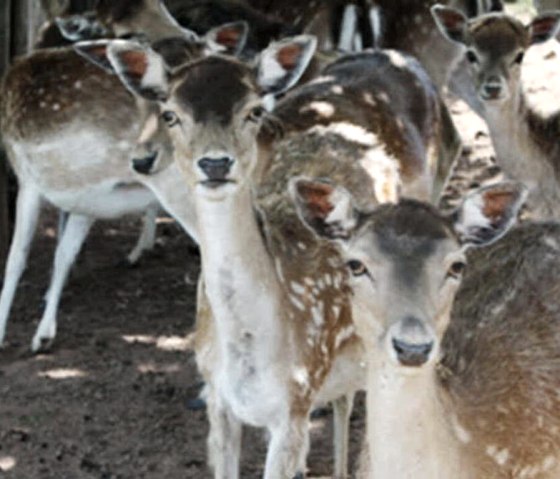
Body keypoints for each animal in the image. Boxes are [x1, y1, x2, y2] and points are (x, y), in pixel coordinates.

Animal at [0, 0, 247, 352]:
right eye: (129, 34)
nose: (190, 40)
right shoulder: (84, 197)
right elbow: (63, 252)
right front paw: (45, 330)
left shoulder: (27, 178)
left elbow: (15, 259)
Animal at [103, 5, 462, 470]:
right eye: (171, 113)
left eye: (253, 111)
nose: (215, 163)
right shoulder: (219, 403)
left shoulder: (293, 407)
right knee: (346, 397)